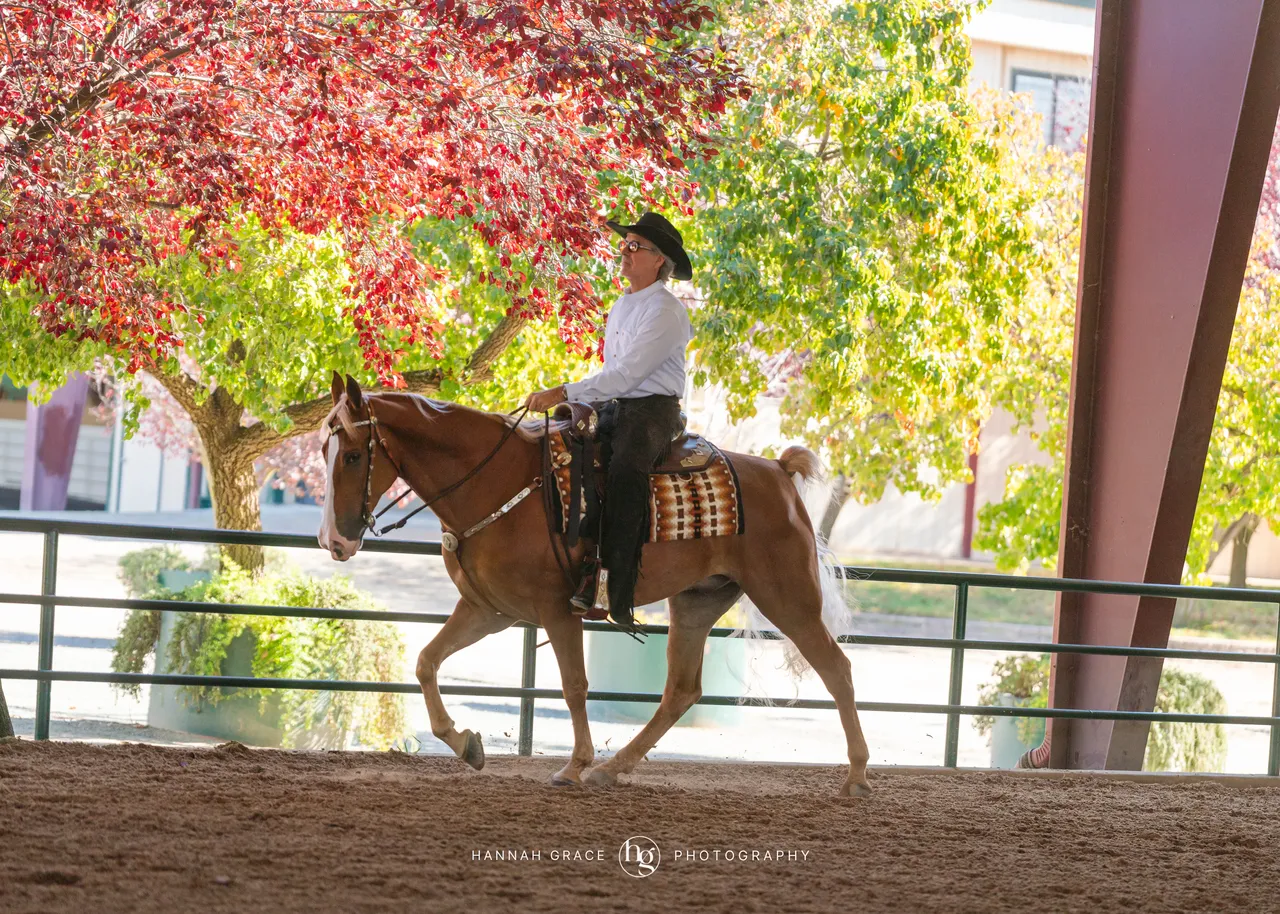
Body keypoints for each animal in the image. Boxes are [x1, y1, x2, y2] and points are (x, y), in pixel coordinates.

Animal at [317, 372, 872, 797]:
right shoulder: (488, 610)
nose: (332, 542)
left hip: (789, 598)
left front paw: (573, 764)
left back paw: (857, 777)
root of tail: (778, 471)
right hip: (697, 603)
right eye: (324, 449)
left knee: (838, 670)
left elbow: (574, 685)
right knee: (681, 690)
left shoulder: (556, 609)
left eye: (352, 455)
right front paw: (465, 743)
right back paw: (614, 767)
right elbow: (426, 662)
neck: (497, 483)